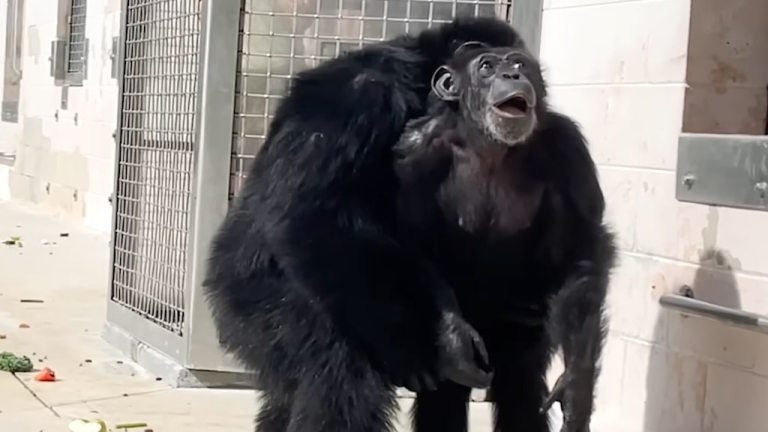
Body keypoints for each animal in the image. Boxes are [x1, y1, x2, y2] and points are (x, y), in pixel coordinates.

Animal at [207, 17, 524, 432]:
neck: (416, 86)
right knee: (340, 375)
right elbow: (310, 213)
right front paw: (407, 349)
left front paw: (454, 336)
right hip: (260, 309)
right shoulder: (355, 101)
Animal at [392, 41, 616, 432]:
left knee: (520, 382)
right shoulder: (412, 152)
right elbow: (412, 239)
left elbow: (582, 248)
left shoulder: (568, 147)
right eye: (487, 67)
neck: (488, 143)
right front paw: (454, 340)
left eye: (519, 64)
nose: (511, 74)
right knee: (446, 396)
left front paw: (577, 388)